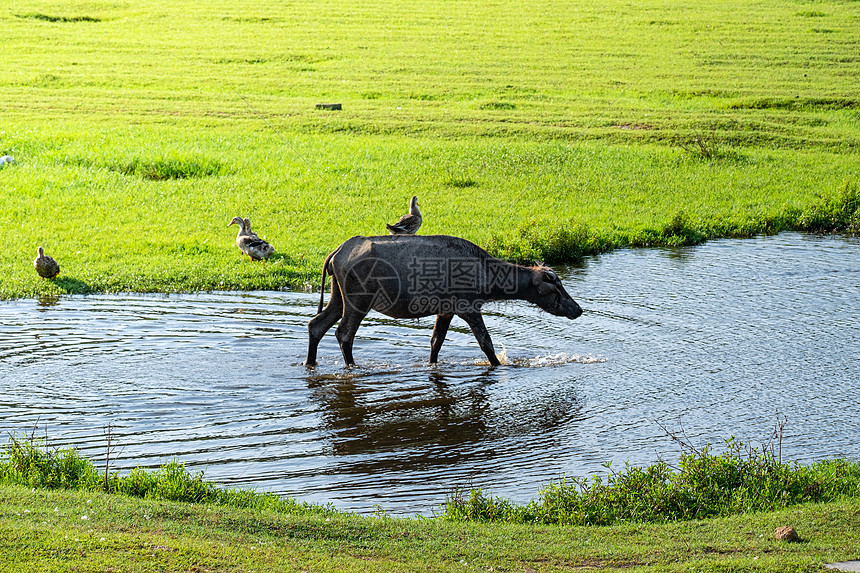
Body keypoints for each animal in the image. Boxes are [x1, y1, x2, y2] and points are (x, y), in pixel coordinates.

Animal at [304, 233, 584, 364]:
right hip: (359, 299)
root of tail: (336, 253)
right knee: (344, 334)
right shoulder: (468, 306)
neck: (489, 278)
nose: (578, 309)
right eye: (556, 288)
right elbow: (486, 344)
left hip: (338, 296)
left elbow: (435, 343)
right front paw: (499, 365)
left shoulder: (446, 309)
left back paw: (310, 362)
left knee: (316, 324)